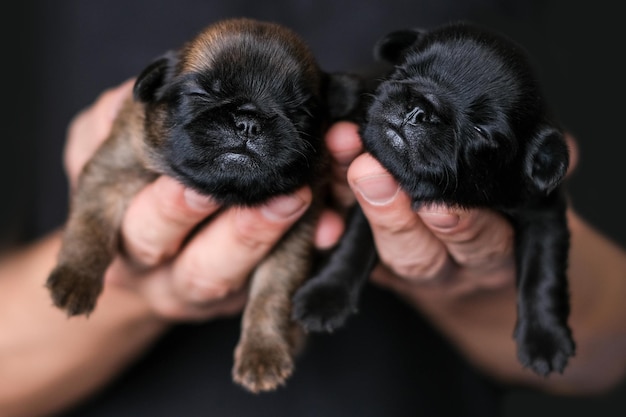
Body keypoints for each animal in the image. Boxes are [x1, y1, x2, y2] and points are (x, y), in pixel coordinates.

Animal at [46, 17, 358, 394]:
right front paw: (76, 278)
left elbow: (271, 294)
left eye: (300, 112)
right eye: (200, 94)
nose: (248, 121)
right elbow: (90, 227)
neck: (225, 191)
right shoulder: (112, 171)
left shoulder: (292, 236)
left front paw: (263, 351)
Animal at [294, 21, 576, 376]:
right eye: (403, 70)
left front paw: (545, 339)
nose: (419, 109)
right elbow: (354, 243)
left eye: (482, 132)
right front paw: (327, 295)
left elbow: (543, 273)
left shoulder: (543, 213)